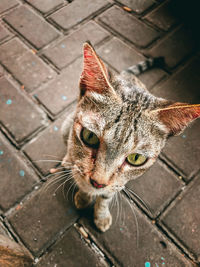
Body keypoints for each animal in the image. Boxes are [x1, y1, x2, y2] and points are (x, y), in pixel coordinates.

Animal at [61, 42, 200, 232]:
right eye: (89, 136)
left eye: (136, 158)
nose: (98, 183)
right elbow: (80, 177)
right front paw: (84, 196)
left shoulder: (118, 183)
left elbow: (106, 197)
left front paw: (100, 214)